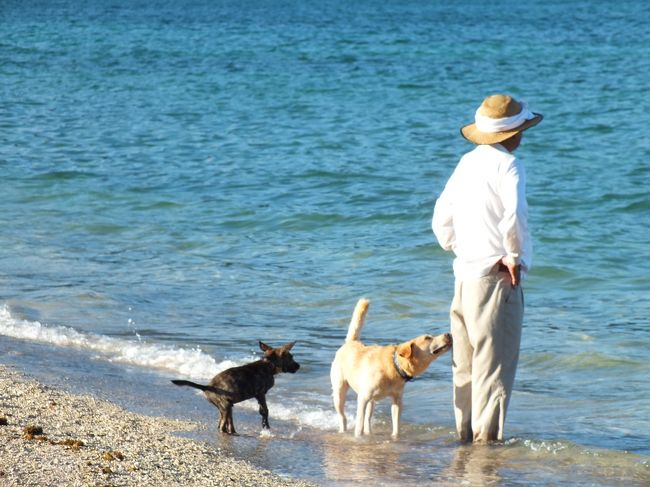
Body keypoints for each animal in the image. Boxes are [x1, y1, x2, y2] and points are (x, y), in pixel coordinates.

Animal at [170, 342, 298, 436]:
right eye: (291, 357)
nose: (299, 366)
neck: (268, 365)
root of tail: (207, 387)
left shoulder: (259, 396)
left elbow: (262, 411)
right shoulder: (261, 394)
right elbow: (265, 411)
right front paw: (266, 427)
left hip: (226, 408)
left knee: (225, 423)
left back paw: (233, 431)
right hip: (226, 406)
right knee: (222, 426)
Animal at [330, 298, 450, 438]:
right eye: (427, 338)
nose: (449, 334)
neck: (394, 366)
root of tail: (351, 342)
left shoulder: (397, 400)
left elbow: (396, 424)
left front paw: (395, 437)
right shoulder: (363, 397)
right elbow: (359, 423)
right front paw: (358, 437)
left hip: (372, 401)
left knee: (367, 418)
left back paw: (369, 433)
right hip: (339, 392)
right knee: (343, 417)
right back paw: (343, 430)